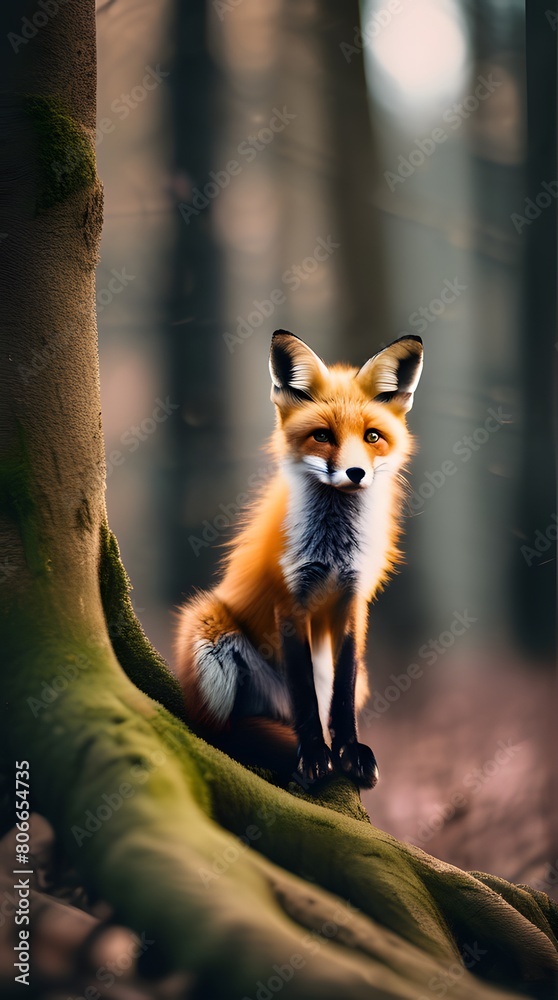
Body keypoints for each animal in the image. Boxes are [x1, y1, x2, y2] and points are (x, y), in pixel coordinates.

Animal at [175, 330, 423, 788]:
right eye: (322, 436)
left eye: (373, 437)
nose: (356, 474)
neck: (334, 546)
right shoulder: (290, 600)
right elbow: (305, 693)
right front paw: (314, 755)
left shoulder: (353, 600)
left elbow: (341, 694)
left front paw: (348, 751)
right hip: (209, 637)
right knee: (221, 730)